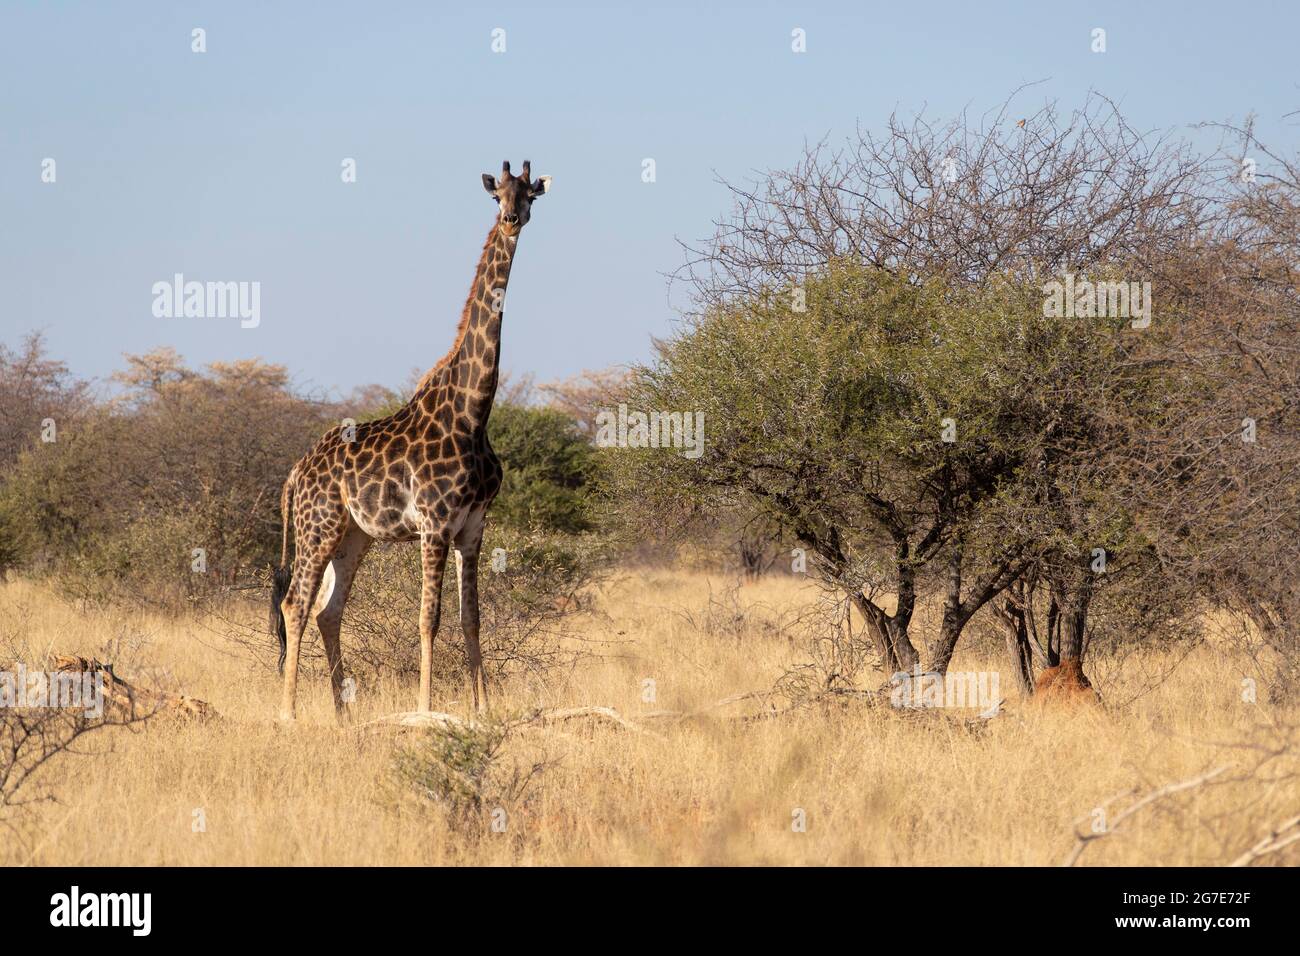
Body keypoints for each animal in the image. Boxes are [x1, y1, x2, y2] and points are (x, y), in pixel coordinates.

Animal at [271, 158, 551, 723]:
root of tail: (295, 473)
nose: (512, 219)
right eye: (497, 196)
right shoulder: (435, 524)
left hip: (353, 536)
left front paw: (482, 710)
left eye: (529, 194)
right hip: (318, 527)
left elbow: (471, 619)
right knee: (295, 604)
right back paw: (288, 714)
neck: (473, 413)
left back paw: (343, 715)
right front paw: (426, 710)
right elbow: (430, 619)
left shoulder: (473, 527)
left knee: (328, 611)